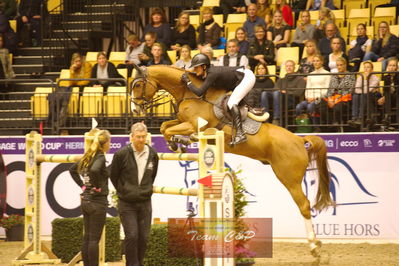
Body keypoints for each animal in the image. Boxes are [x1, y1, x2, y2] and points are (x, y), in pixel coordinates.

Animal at [131, 64, 334, 256]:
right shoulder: (182, 122)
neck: (191, 94)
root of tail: (300, 140)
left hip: (289, 178)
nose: (134, 109)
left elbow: (171, 130)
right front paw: (177, 144)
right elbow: (165, 127)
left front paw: (179, 142)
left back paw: (314, 247)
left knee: (304, 205)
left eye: (138, 85)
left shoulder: (194, 125)